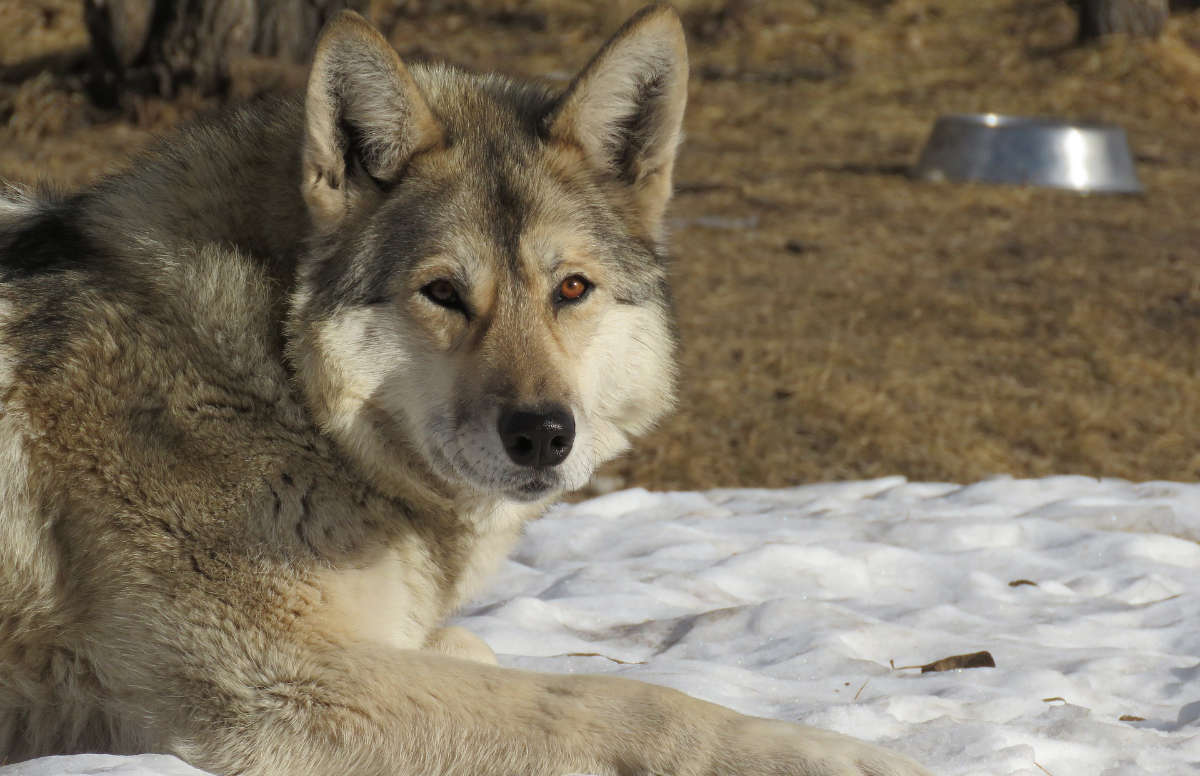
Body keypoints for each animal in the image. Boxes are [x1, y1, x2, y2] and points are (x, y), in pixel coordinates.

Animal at [0, 6, 931, 776]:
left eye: (571, 289)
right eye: (443, 292)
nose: (543, 433)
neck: (272, 382)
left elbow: (474, 647)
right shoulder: (286, 694)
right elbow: (611, 701)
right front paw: (832, 754)